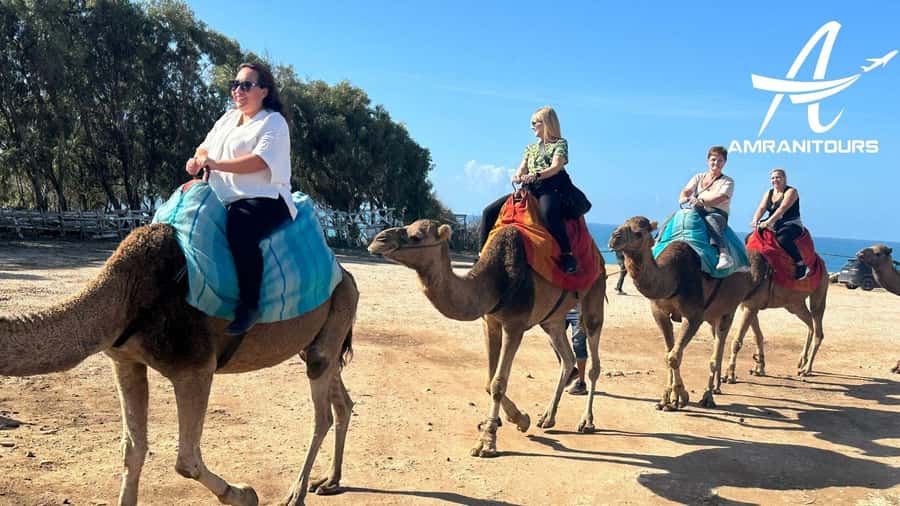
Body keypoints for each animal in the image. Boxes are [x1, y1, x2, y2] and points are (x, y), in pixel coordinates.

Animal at [0, 223, 359, 506]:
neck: (124, 293)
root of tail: (346, 274)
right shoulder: (126, 361)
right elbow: (132, 449)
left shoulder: (195, 367)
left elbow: (186, 460)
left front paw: (245, 494)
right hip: (317, 338)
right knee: (341, 400)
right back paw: (330, 481)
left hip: (337, 314)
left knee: (322, 411)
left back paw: (296, 494)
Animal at [368, 219, 605, 457]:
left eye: (417, 236)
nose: (377, 240)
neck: (496, 280)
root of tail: (599, 256)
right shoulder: (489, 321)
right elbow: (488, 381)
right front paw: (519, 419)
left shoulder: (514, 325)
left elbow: (498, 383)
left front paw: (488, 441)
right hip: (552, 321)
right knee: (567, 358)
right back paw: (547, 417)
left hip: (593, 298)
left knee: (593, 361)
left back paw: (587, 421)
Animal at [608, 216, 755, 410]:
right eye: (622, 225)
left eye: (639, 233)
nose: (614, 238)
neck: (673, 278)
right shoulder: (659, 313)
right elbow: (668, 353)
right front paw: (667, 399)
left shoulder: (694, 315)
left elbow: (674, 356)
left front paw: (682, 396)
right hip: (712, 316)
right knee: (717, 344)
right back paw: (716, 387)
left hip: (729, 309)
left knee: (716, 351)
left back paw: (708, 397)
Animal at [724, 250, 829, 381]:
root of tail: (822, 263)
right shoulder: (748, 306)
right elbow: (757, 336)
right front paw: (759, 368)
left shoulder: (751, 306)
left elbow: (737, 341)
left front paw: (729, 375)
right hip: (794, 304)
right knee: (810, 324)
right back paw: (801, 361)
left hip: (819, 293)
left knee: (818, 329)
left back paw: (806, 370)